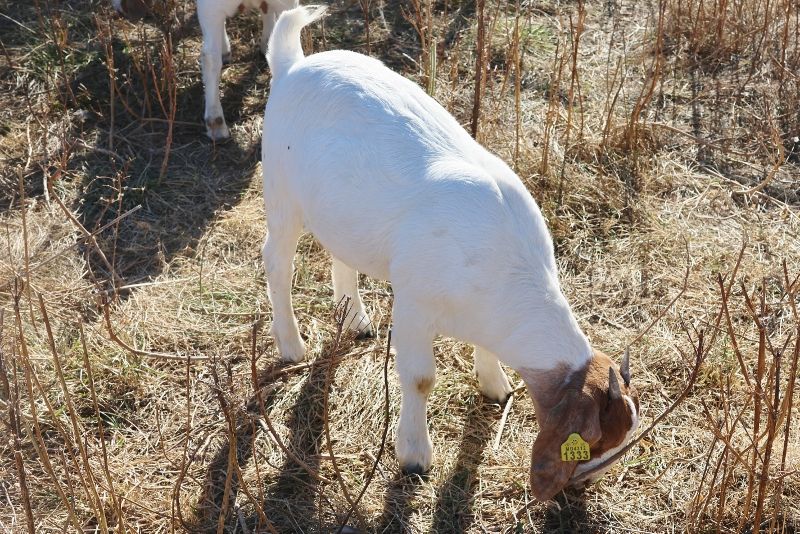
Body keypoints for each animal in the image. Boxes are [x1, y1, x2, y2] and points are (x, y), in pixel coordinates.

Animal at [266, 5, 640, 502]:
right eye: (592, 442)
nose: (579, 489)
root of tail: (291, 63)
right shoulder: (414, 302)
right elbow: (421, 378)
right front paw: (414, 456)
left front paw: (496, 386)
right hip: (280, 191)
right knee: (277, 262)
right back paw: (291, 345)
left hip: (340, 211)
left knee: (341, 254)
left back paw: (356, 320)